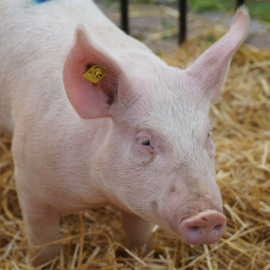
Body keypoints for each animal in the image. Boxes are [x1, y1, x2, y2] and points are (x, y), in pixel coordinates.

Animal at [0, 0, 249, 266]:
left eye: (208, 134)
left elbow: (138, 234)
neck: (98, 191)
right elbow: (44, 243)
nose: (208, 215)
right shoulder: (28, 183)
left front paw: (142, 258)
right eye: (145, 141)